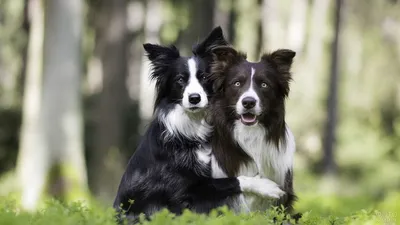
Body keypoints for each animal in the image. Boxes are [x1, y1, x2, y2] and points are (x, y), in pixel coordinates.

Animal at [111, 26, 282, 223]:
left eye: (205, 76)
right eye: (180, 79)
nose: (194, 98)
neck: (192, 126)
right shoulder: (183, 190)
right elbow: (233, 180)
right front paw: (267, 186)